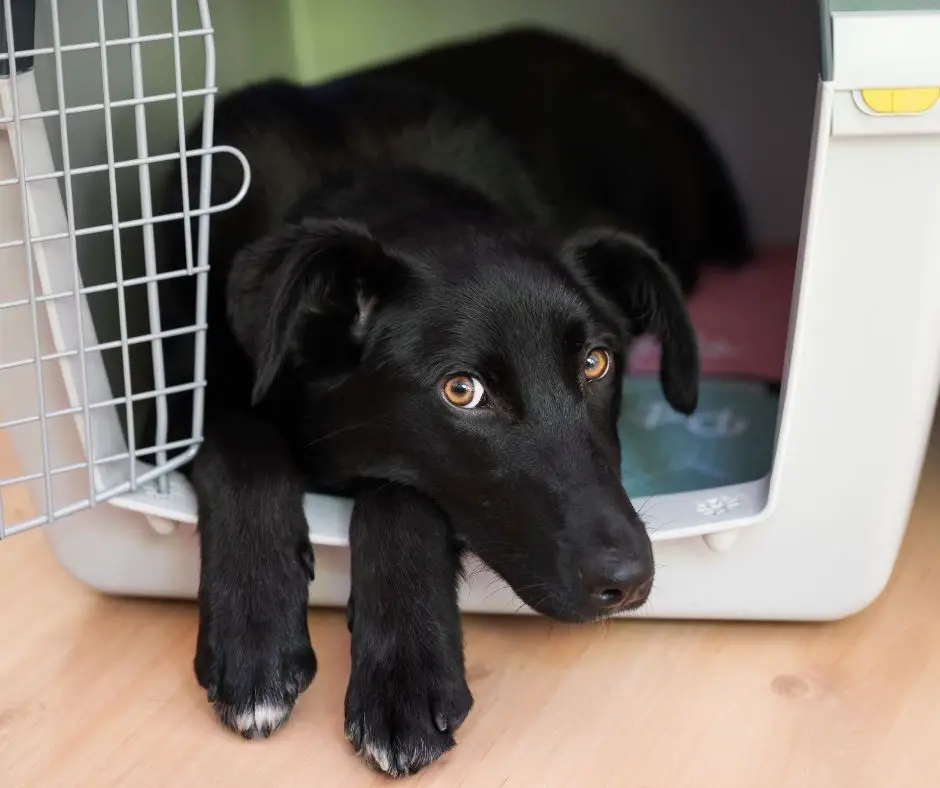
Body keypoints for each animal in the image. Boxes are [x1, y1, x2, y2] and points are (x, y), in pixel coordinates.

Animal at [156, 27, 748, 780]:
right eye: (461, 390)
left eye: (596, 362)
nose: (630, 580)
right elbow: (239, 446)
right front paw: (254, 631)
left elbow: (401, 496)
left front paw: (405, 678)